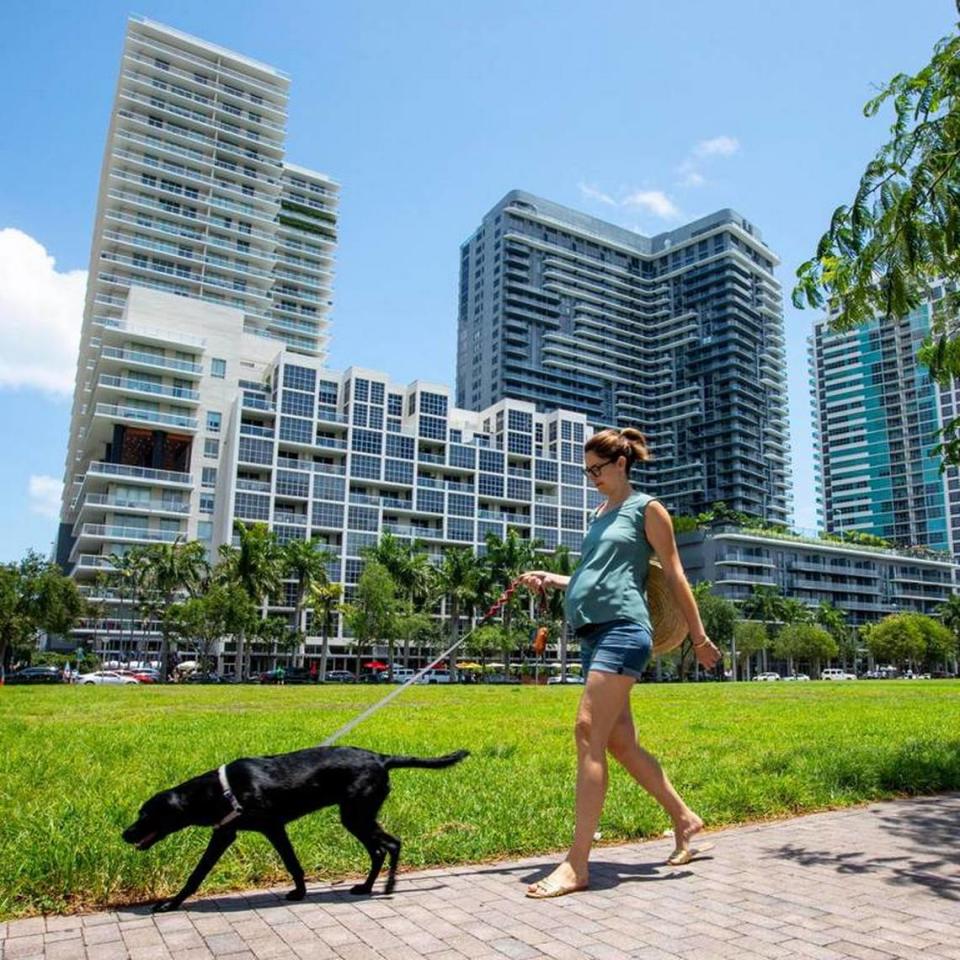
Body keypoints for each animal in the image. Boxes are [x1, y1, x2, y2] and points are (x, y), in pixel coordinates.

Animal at [124, 748, 468, 912]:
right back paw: (366, 887)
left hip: (356, 815)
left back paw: (387, 887)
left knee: (392, 844)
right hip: (355, 817)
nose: (124, 834)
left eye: (145, 814)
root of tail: (381, 758)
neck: (222, 789)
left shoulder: (272, 827)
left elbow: (291, 862)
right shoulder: (225, 833)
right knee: (379, 850)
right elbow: (198, 874)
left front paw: (169, 904)